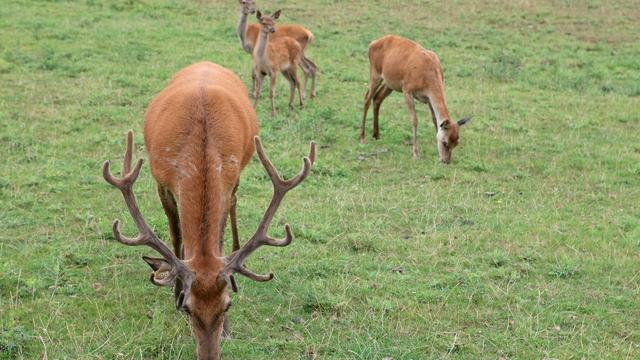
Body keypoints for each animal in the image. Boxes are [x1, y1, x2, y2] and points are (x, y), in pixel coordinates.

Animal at [100, 62, 318, 360]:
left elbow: (220, 239)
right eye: (188, 307)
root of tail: (204, 63)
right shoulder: (162, 183)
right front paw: (174, 290)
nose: (209, 355)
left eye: (227, 306)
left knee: (235, 207)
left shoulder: (227, 180)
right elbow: (176, 237)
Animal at [360, 33, 470, 163]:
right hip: (375, 73)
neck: (427, 78)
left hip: (390, 83)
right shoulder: (407, 90)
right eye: (445, 142)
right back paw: (362, 138)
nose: (446, 161)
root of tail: (372, 43)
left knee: (377, 98)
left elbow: (434, 119)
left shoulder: (428, 98)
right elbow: (414, 120)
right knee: (367, 98)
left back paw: (376, 135)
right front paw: (415, 154)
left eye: (456, 143)